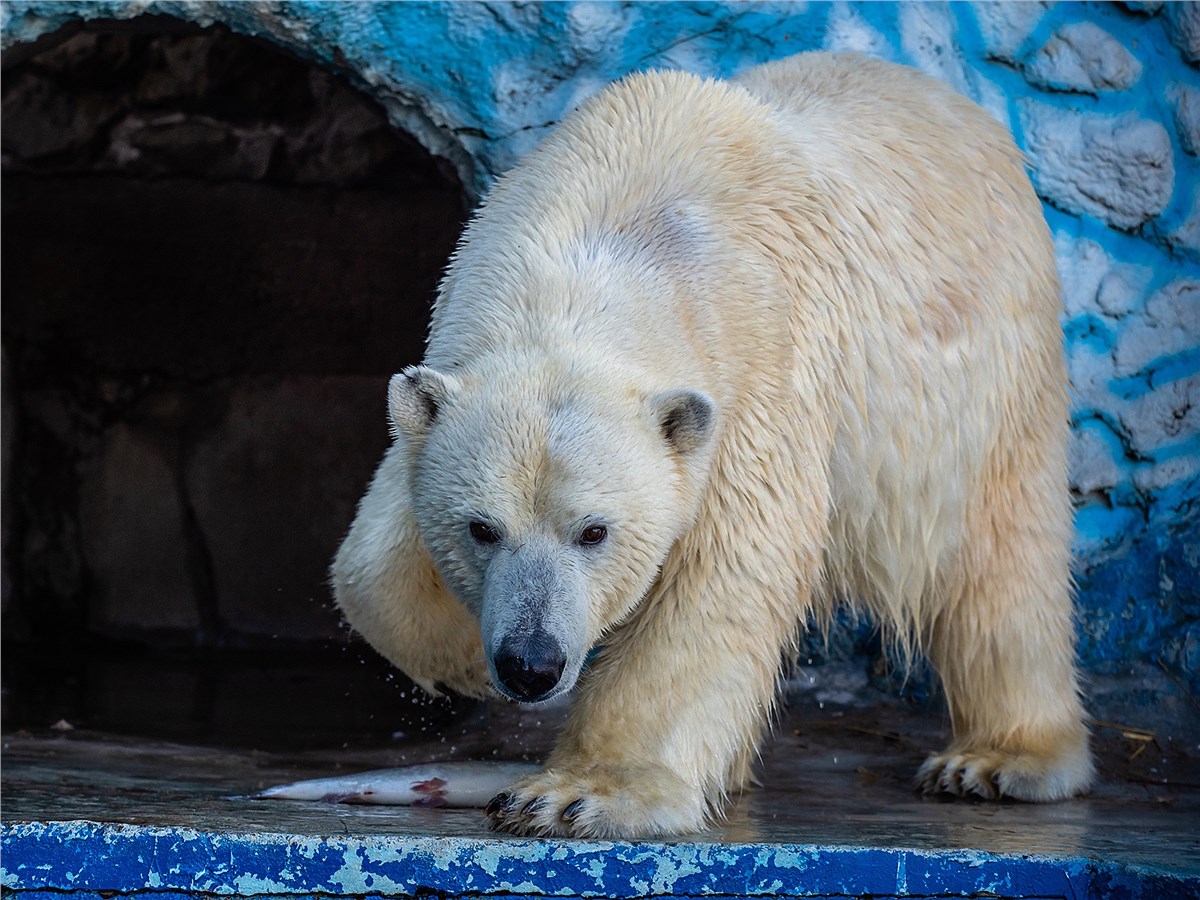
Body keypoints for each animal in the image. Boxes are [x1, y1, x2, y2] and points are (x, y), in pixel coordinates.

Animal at [333, 51, 1094, 840]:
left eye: (594, 532)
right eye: (481, 529)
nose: (531, 663)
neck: (607, 239)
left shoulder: (755, 375)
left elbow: (721, 573)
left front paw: (575, 795)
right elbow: (369, 557)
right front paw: (457, 661)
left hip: (991, 369)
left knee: (1001, 558)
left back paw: (998, 761)